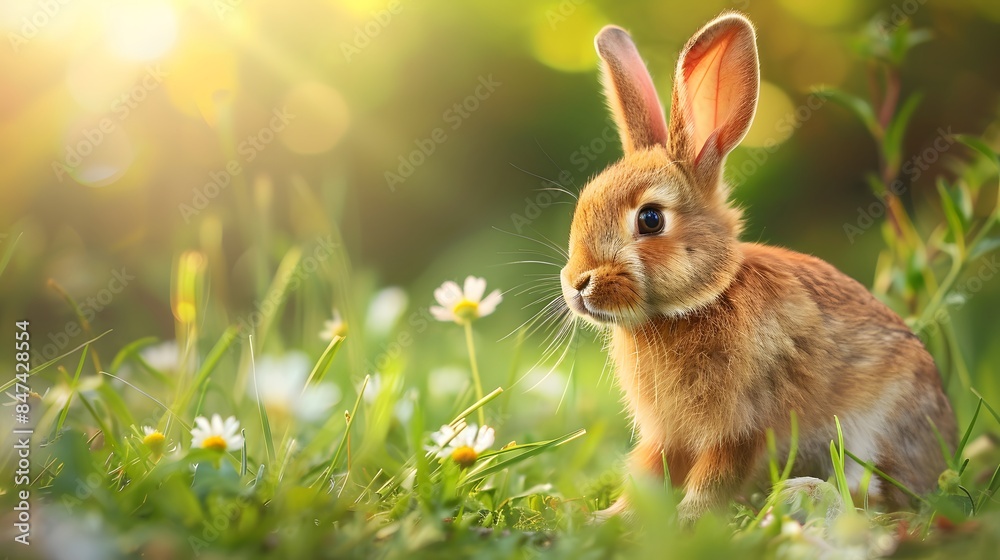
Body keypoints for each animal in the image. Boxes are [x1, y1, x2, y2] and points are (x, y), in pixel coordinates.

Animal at [558, 12, 956, 523]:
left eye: (650, 219)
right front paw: (607, 518)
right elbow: (648, 474)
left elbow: (715, 477)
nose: (577, 284)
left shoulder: (742, 427)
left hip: (879, 429)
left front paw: (688, 521)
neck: (700, 301)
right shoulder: (666, 436)